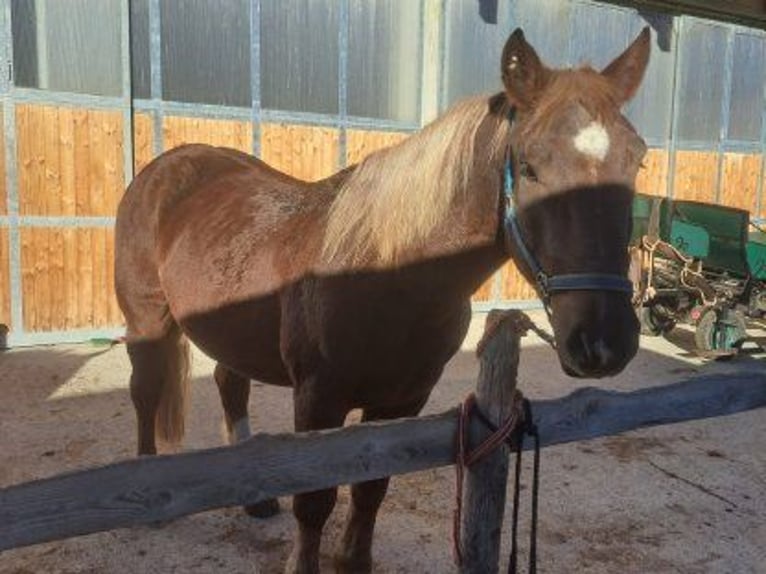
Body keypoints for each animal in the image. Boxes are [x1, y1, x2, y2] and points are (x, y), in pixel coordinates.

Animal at [115, 28, 648, 574]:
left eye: (637, 159)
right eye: (529, 166)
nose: (604, 340)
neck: (389, 274)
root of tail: (166, 166)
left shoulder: (404, 399)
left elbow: (372, 488)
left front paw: (353, 559)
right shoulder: (318, 399)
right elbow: (315, 502)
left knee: (229, 383)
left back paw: (257, 500)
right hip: (146, 322)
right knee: (146, 390)